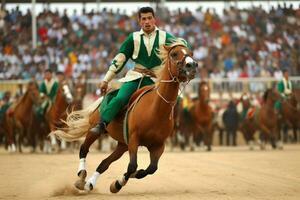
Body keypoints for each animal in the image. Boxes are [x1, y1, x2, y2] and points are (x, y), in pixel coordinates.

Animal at [50, 40, 198, 192]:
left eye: (191, 53)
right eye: (174, 54)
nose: (192, 66)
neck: (156, 110)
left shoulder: (158, 146)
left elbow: (150, 169)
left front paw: (120, 182)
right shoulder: (134, 139)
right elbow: (132, 166)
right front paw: (118, 183)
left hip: (122, 145)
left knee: (104, 163)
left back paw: (89, 183)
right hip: (95, 129)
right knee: (84, 148)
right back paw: (81, 176)